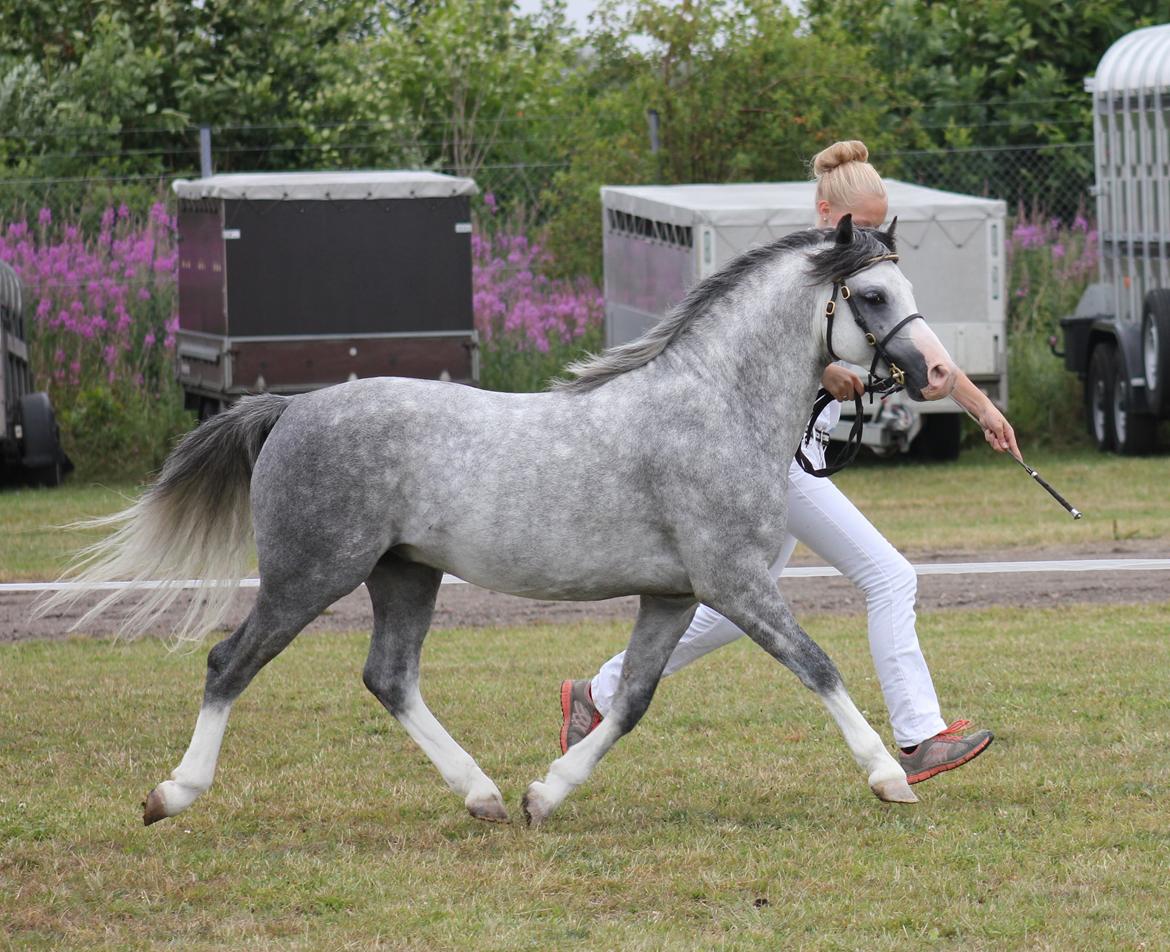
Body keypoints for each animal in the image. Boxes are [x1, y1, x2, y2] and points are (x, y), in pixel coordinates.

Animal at [43, 215, 958, 827]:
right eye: (872, 294)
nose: (935, 372)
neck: (715, 407)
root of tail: (288, 411)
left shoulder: (673, 595)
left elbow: (632, 700)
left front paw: (542, 794)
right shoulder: (734, 583)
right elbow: (819, 666)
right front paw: (890, 777)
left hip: (404, 574)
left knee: (389, 677)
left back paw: (481, 794)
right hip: (311, 575)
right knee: (230, 662)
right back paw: (171, 794)